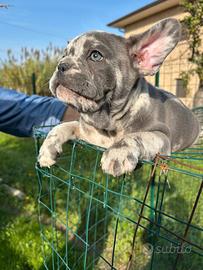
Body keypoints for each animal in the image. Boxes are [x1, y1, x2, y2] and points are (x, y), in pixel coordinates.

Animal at [38, 17, 200, 177]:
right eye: (64, 55)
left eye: (95, 55)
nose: (61, 65)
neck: (108, 121)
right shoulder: (86, 132)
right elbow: (64, 126)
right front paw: (47, 148)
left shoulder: (162, 137)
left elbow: (138, 136)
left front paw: (118, 153)